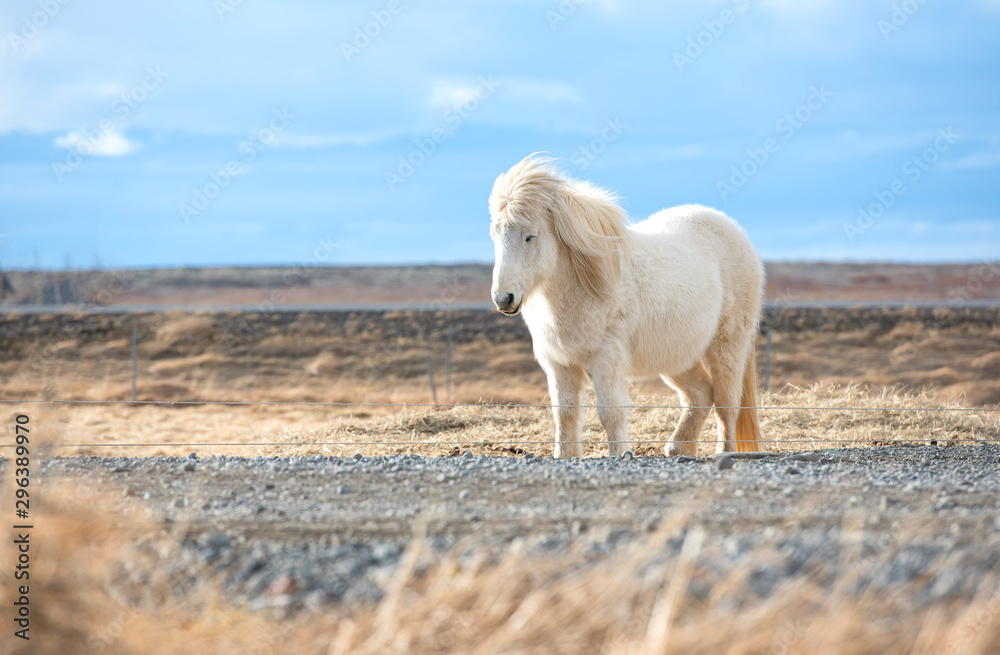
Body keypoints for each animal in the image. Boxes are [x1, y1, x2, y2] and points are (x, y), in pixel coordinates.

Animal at [488, 156, 760, 458]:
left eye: (530, 236)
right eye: (495, 236)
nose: (504, 299)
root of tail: (734, 231)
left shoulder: (607, 358)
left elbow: (610, 412)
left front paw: (619, 454)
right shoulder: (559, 363)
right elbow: (564, 413)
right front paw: (565, 456)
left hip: (728, 344)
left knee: (727, 403)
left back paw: (725, 452)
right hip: (677, 354)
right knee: (700, 393)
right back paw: (678, 448)